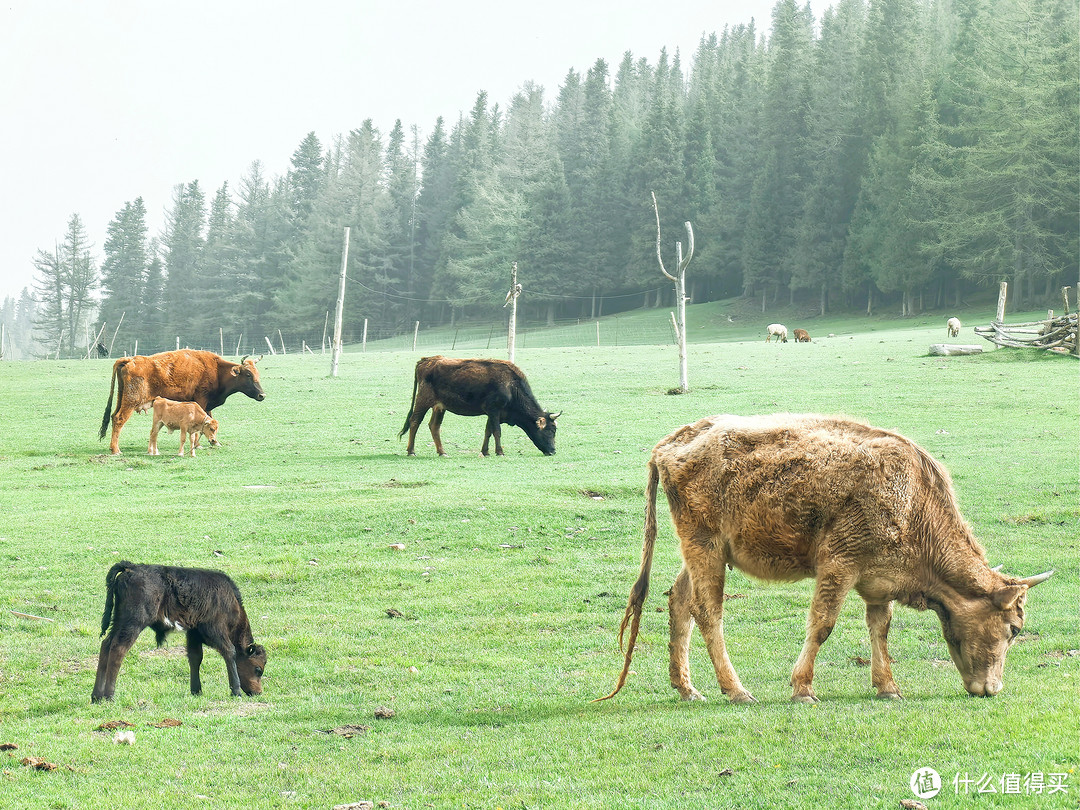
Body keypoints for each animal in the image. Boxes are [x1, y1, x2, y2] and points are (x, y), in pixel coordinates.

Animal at [95, 565, 267, 704]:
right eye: (258, 669)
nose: (258, 692)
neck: (230, 601)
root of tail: (131, 567)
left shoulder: (193, 634)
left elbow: (195, 657)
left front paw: (196, 691)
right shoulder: (215, 631)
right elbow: (229, 652)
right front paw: (236, 691)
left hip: (119, 622)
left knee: (106, 645)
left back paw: (96, 696)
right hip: (133, 624)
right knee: (118, 649)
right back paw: (109, 696)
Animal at [99, 349, 265, 457]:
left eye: (257, 373)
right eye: (248, 374)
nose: (262, 395)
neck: (217, 369)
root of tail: (129, 360)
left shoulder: (207, 405)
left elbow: (209, 419)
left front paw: (215, 442)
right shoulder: (201, 401)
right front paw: (199, 445)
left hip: (121, 398)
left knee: (113, 416)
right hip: (131, 402)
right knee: (119, 419)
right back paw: (116, 450)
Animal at [399, 354, 565, 457]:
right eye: (551, 430)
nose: (552, 451)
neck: (511, 386)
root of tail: (427, 360)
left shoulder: (493, 413)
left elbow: (488, 431)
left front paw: (485, 451)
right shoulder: (494, 410)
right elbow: (497, 431)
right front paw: (499, 452)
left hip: (439, 407)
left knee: (434, 426)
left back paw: (442, 452)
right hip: (423, 400)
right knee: (415, 421)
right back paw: (411, 451)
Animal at [596, 412, 1049, 704]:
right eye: (1013, 628)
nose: (992, 689)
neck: (914, 500)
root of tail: (672, 442)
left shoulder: (876, 579)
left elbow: (880, 628)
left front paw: (888, 687)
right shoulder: (839, 564)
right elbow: (823, 624)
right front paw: (803, 689)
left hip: (705, 550)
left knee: (679, 600)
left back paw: (688, 688)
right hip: (704, 545)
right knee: (707, 611)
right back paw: (736, 690)